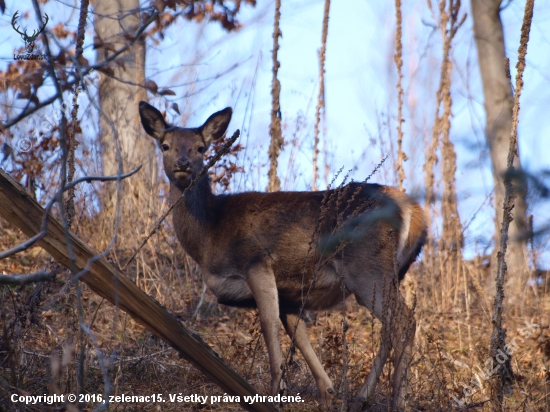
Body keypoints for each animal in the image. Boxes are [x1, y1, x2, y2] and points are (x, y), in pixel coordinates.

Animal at [138, 100, 426, 412]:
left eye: (201, 148)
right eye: (165, 145)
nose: (183, 163)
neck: (208, 235)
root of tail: (414, 210)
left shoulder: (256, 262)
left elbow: (269, 324)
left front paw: (276, 390)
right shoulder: (290, 293)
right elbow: (299, 337)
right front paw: (327, 392)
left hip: (366, 268)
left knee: (404, 321)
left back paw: (398, 400)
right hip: (388, 273)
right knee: (390, 327)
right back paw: (363, 397)